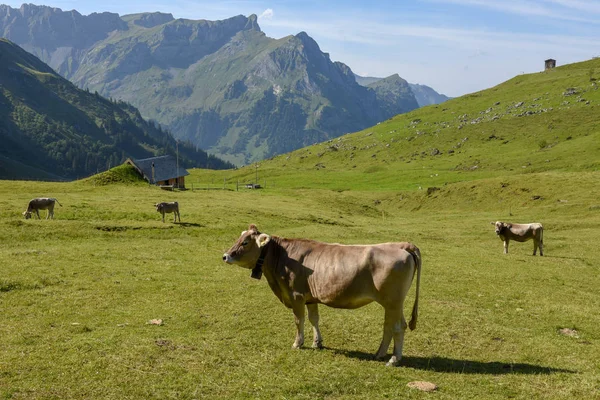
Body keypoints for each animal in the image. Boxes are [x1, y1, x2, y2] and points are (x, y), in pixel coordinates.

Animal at [221, 223, 422, 368]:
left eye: (245, 242)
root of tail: (402, 245)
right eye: (239, 238)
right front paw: (317, 342)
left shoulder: (296, 296)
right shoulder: (310, 297)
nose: (225, 256)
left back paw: (393, 359)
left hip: (393, 301)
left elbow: (299, 320)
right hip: (392, 304)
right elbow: (314, 319)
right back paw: (379, 354)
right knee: (389, 326)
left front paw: (298, 343)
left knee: (397, 327)